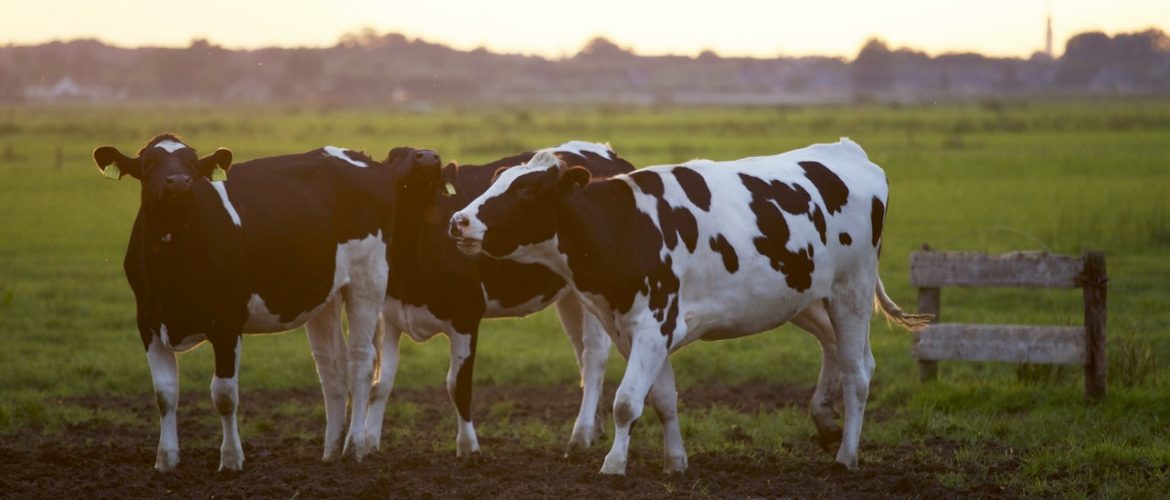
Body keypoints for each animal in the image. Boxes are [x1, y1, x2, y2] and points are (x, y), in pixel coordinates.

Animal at [93, 134, 439, 471]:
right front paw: (166, 460)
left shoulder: (227, 321)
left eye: (192, 164)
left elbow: (224, 395)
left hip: (368, 279)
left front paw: (231, 459)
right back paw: (330, 451)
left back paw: (354, 447)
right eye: (149, 163)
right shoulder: (148, 321)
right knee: (332, 368)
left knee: (361, 361)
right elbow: (164, 394)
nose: (178, 182)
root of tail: (367, 160)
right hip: (324, 295)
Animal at [375, 141, 635, 457]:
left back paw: (581, 435)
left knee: (594, 356)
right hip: (573, 297)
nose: (427, 157)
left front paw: (469, 449)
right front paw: (363, 444)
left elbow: (458, 385)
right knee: (581, 355)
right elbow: (381, 383)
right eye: (395, 156)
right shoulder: (390, 316)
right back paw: (595, 428)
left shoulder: (466, 315)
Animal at [449, 138, 930, 474]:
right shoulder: (637, 330)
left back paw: (847, 455)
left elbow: (626, 402)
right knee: (840, 351)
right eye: (496, 181)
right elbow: (662, 399)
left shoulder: (653, 324)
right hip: (805, 297)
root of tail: (848, 151)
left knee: (858, 374)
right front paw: (675, 462)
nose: (458, 221)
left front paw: (614, 464)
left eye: (527, 190)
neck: (624, 226)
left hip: (852, 290)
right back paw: (826, 422)